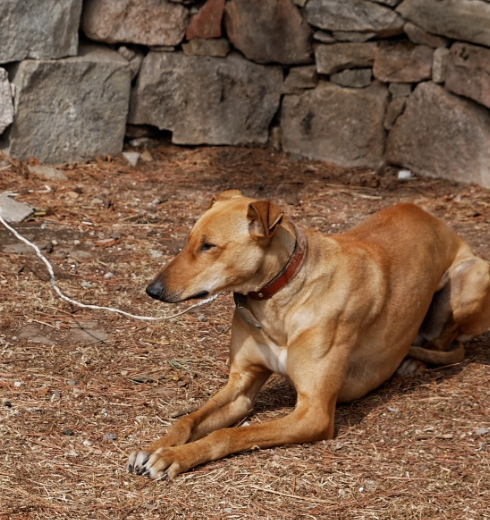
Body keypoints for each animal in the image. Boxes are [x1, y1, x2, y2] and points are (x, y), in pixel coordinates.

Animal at [127, 190, 490, 480]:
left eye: (209, 246)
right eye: (189, 240)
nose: (152, 290)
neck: (278, 299)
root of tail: (435, 219)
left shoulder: (313, 412)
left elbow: (226, 435)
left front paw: (174, 457)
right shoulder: (240, 386)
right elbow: (187, 420)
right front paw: (156, 447)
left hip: (471, 277)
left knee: (447, 339)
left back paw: (415, 362)